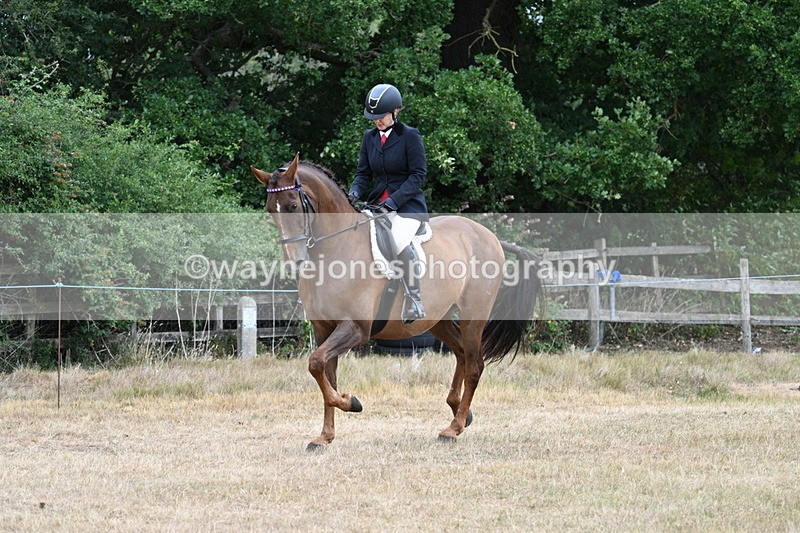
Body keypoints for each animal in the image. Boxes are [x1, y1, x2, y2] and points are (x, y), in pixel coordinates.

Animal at [250, 154, 542, 451]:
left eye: (293, 206)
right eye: (270, 209)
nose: (295, 262)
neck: (334, 249)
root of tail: (488, 235)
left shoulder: (355, 328)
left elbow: (316, 364)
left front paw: (351, 403)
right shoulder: (324, 329)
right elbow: (324, 372)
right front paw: (325, 436)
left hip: (474, 313)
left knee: (475, 364)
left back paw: (454, 428)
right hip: (436, 318)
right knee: (461, 352)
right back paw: (460, 411)